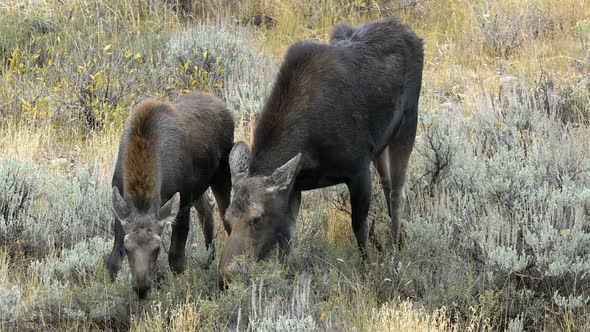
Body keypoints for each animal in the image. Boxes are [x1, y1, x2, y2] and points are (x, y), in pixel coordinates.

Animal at [107, 91, 235, 298]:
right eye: (128, 248)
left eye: (157, 248)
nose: (142, 288)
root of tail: (224, 107)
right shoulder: (121, 207)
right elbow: (113, 260)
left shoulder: (182, 203)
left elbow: (176, 259)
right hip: (198, 187)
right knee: (207, 210)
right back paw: (208, 259)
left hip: (222, 176)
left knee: (227, 216)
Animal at [220, 18, 424, 286]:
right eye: (227, 218)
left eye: (256, 218)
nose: (226, 276)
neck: (310, 151)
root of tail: (413, 34)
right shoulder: (295, 185)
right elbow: (287, 239)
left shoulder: (358, 170)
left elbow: (358, 227)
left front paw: (367, 269)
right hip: (381, 143)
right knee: (388, 184)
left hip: (408, 122)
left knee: (398, 191)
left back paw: (396, 249)